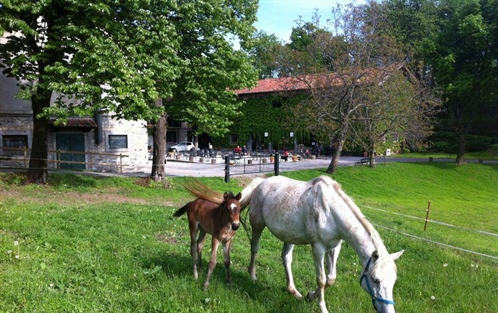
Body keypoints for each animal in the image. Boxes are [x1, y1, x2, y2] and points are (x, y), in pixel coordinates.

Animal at [239, 176, 402, 312]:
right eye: (376, 280)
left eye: (394, 281)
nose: (388, 310)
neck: (330, 212)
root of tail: (261, 182)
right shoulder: (318, 248)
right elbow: (322, 280)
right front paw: (322, 307)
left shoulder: (335, 247)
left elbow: (331, 279)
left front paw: (310, 295)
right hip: (257, 226)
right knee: (254, 249)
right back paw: (252, 275)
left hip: (290, 237)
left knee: (286, 258)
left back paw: (293, 290)